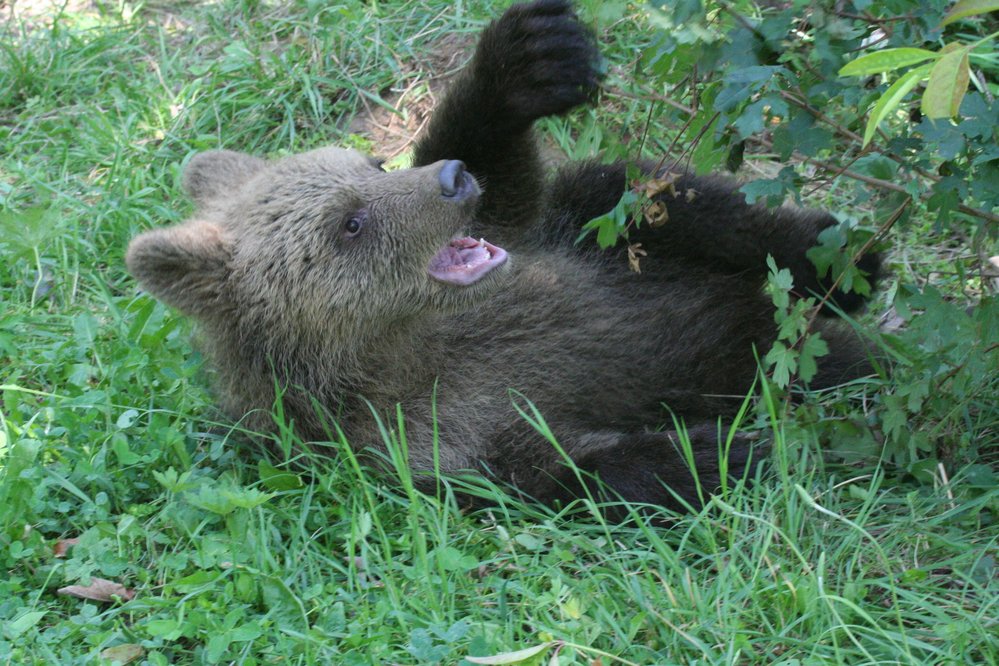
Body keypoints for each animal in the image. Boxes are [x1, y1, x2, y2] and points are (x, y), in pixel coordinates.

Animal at [123, 0, 876, 510]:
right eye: (350, 223)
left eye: (371, 163)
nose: (452, 181)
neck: (396, 343)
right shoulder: (425, 435)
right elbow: (560, 466)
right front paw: (728, 449)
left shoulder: (527, 246)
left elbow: (508, 174)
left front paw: (531, 55)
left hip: (615, 240)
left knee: (646, 197)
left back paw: (840, 261)